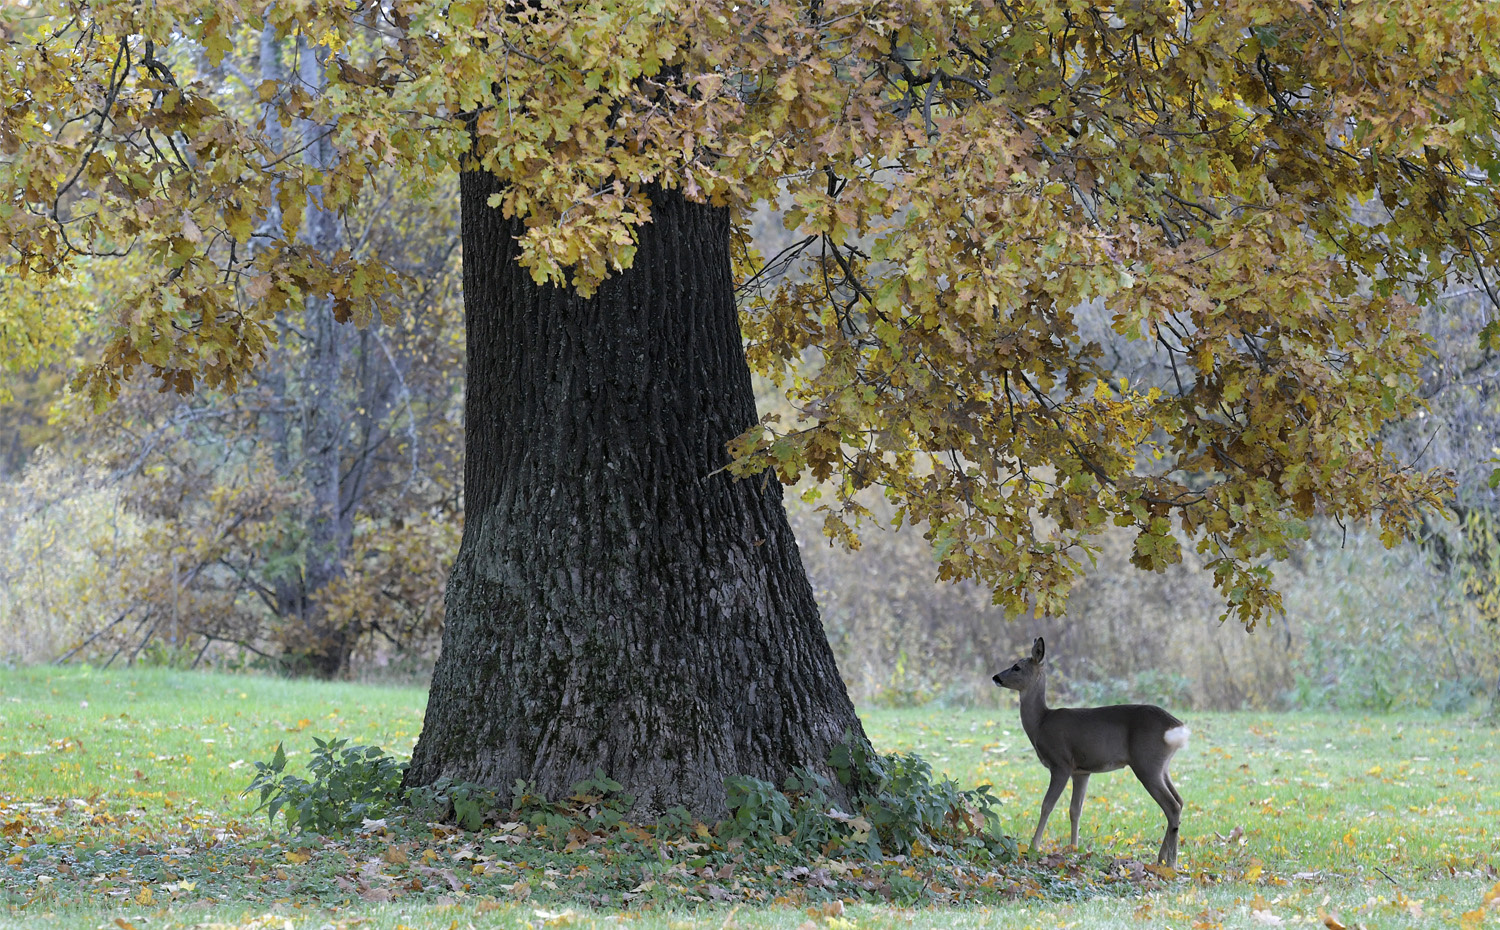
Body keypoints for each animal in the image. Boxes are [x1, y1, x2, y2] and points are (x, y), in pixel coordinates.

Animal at [990, 636, 1188, 870]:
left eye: (1017, 667)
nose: (996, 677)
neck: (1041, 723)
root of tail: (1177, 726)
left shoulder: (1061, 763)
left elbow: (1047, 805)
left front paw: (1033, 846)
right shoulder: (1082, 771)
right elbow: (1075, 810)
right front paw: (1074, 849)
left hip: (1146, 763)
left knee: (1172, 805)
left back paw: (1171, 864)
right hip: (1161, 766)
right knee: (1179, 801)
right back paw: (1162, 859)